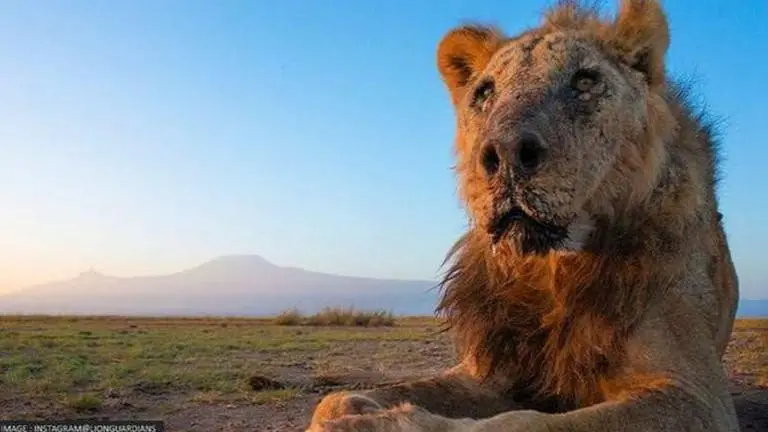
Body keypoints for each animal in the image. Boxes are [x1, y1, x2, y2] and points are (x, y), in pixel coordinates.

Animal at [306, 0, 740, 431]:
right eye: (485, 92)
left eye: (585, 82)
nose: (506, 152)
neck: (550, 270)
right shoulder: (491, 370)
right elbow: (338, 398)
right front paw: (351, 411)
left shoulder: (695, 394)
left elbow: (519, 422)